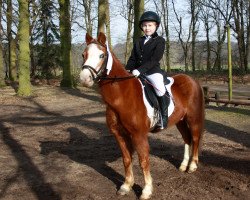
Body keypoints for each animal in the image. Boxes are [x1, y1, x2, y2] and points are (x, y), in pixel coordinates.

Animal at [79, 32, 204, 199]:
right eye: (83, 55)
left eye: (101, 55)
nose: (84, 79)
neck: (123, 96)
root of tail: (192, 80)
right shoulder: (119, 134)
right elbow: (126, 159)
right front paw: (126, 186)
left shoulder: (139, 135)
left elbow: (143, 160)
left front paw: (146, 190)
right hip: (180, 121)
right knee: (187, 139)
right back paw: (183, 165)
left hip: (193, 118)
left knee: (195, 138)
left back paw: (192, 166)